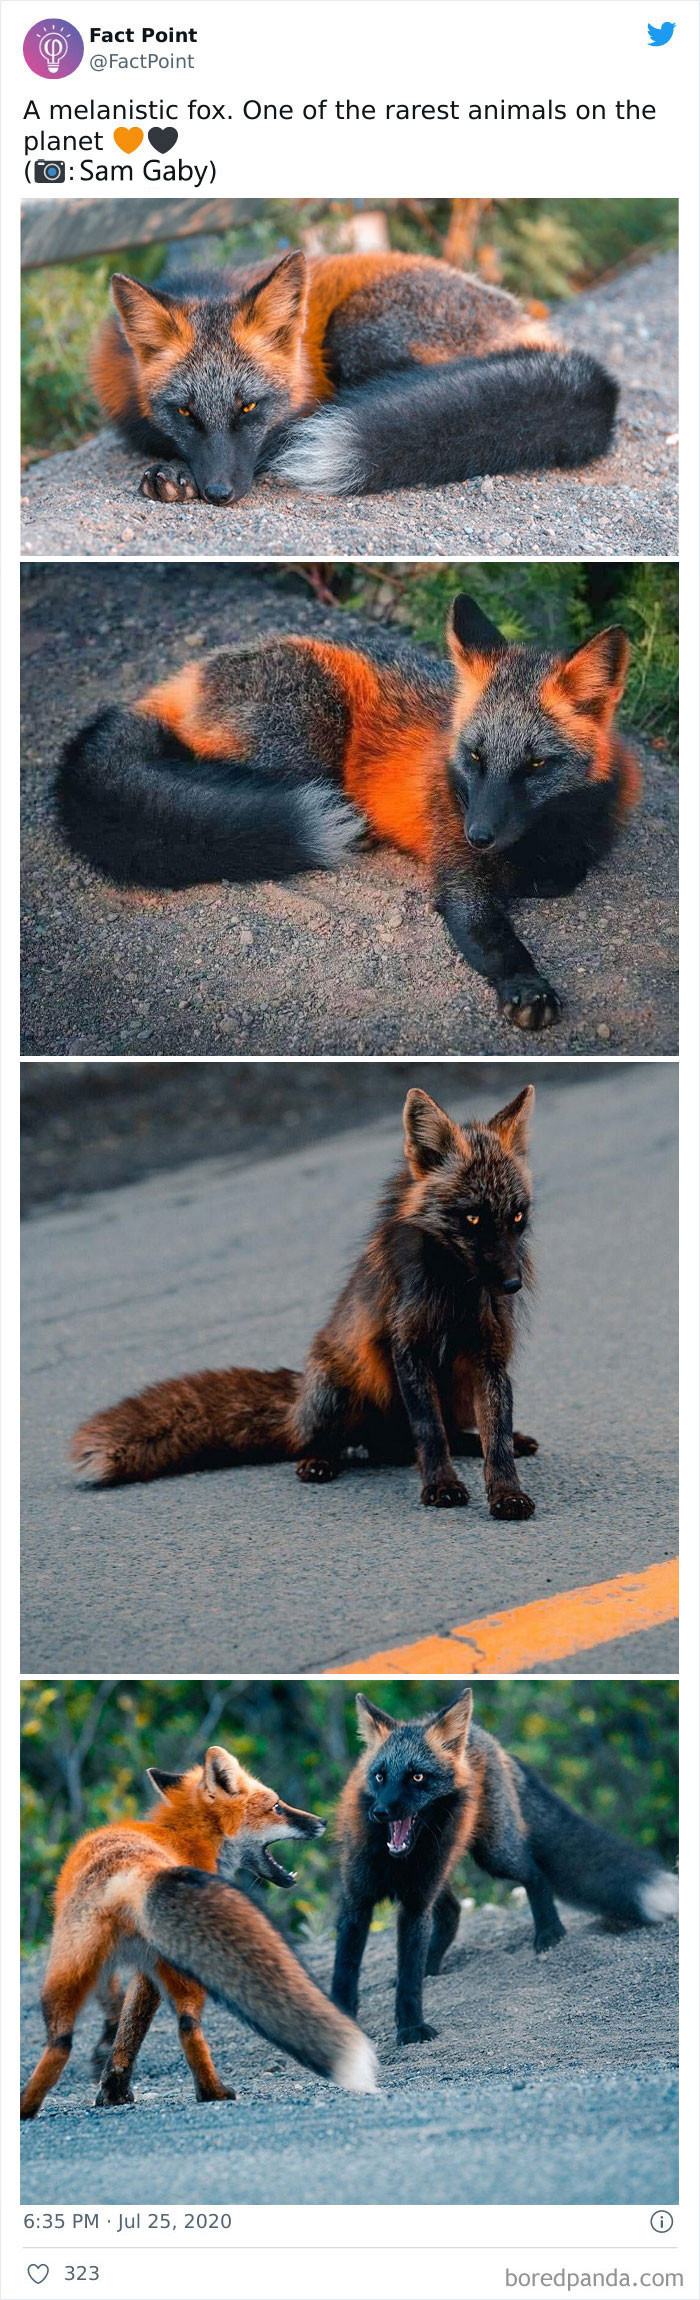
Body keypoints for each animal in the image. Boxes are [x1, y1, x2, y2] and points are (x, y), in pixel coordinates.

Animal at [20, 1742, 377, 2120]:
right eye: (277, 1806)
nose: (322, 1822)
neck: (185, 1840)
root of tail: (129, 1872)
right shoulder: (150, 1973)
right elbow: (135, 2026)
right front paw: (115, 2087)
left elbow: (124, 2027)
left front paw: (112, 2086)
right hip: (182, 1968)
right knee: (188, 2026)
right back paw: (212, 2092)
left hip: (66, 1972)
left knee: (60, 2042)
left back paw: (27, 2107)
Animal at [57, 593, 641, 1032]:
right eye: (475, 757)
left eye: (536, 764)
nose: (478, 834)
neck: (543, 835)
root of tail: (191, 672)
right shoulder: (457, 873)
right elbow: (493, 936)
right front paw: (525, 985)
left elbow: (564, 873)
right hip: (309, 736)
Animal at [71, 1082, 539, 1519]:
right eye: (473, 1217)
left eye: (516, 1217)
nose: (512, 1284)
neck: (454, 1293)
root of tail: (297, 1401)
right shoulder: (409, 1347)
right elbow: (429, 1430)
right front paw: (441, 1486)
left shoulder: (489, 1355)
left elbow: (496, 1437)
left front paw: (507, 1493)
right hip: (338, 1391)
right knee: (344, 1444)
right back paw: (318, 1460)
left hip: (455, 1390)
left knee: (428, 1441)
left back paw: (496, 1442)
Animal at [332, 1689, 679, 2047]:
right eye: (379, 1776)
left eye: (417, 1776)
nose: (381, 1812)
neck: (393, 1862)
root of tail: (486, 1737)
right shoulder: (357, 1901)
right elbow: (345, 1970)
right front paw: (342, 2018)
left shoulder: (415, 1904)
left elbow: (409, 1980)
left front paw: (411, 2028)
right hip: (448, 1871)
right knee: (453, 1912)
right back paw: (434, 1966)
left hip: (493, 1855)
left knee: (535, 1874)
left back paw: (549, 1933)